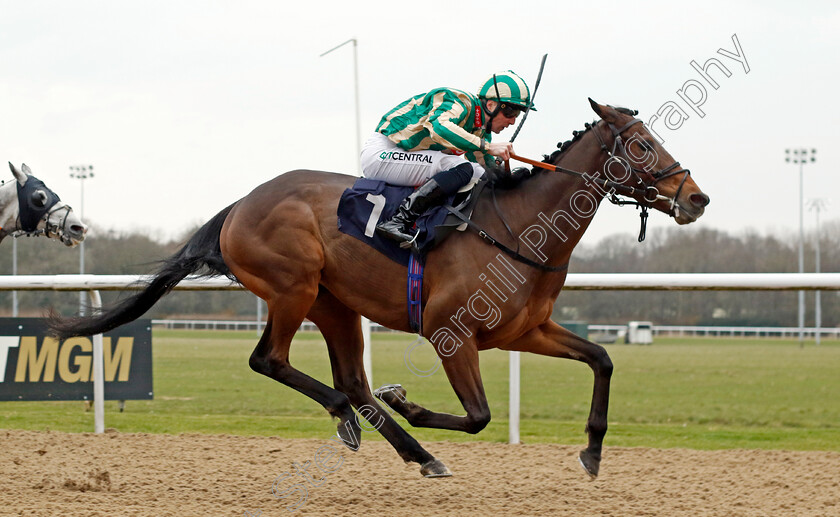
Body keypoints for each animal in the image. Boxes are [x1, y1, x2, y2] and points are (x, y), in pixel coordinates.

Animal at [49, 101, 708, 480]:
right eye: (642, 145)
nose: (697, 198)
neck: (519, 228)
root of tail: (241, 204)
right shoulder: (450, 333)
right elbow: (478, 416)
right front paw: (409, 401)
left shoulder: (526, 331)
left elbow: (602, 359)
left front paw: (592, 453)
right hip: (293, 288)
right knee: (274, 361)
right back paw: (359, 422)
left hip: (334, 304)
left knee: (351, 381)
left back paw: (415, 452)